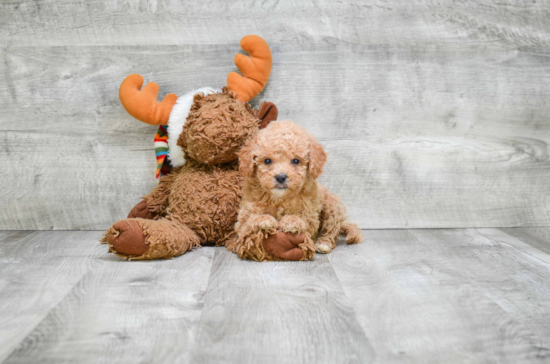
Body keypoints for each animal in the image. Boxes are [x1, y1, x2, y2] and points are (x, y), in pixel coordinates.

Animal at [231, 120, 364, 262]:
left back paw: (324, 244)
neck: (280, 198)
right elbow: (248, 222)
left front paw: (291, 221)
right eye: (267, 161)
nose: (281, 177)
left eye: (296, 161)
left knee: (331, 229)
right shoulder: (245, 214)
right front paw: (264, 219)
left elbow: (303, 219)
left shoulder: (311, 215)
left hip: (331, 205)